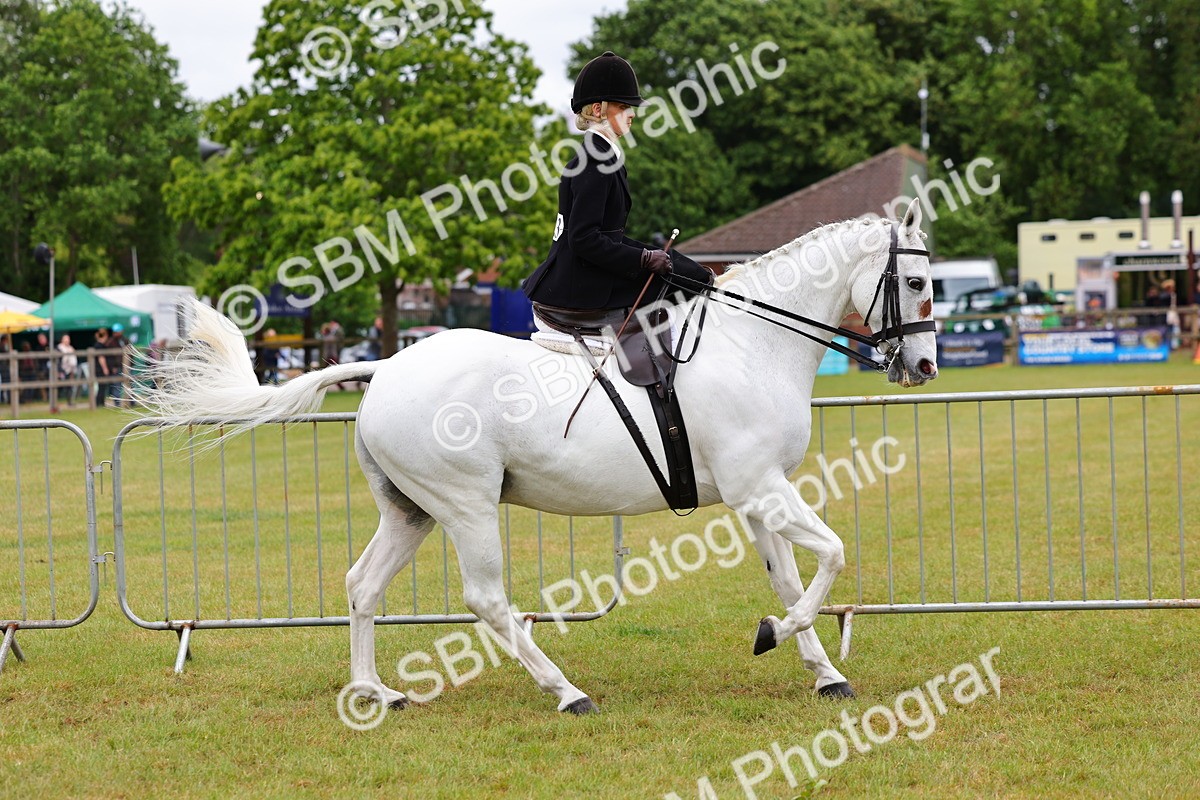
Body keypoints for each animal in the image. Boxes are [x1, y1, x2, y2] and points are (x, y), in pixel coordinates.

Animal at [140, 198, 937, 715]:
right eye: (918, 282)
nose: (924, 368)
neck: (751, 346)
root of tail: (385, 369)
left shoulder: (755, 494)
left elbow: (792, 577)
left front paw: (820, 671)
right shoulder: (760, 487)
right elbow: (832, 555)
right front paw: (776, 636)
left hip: (411, 511)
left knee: (363, 585)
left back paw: (376, 692)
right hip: (464, 506)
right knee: (487, 600)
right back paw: (566, 691)